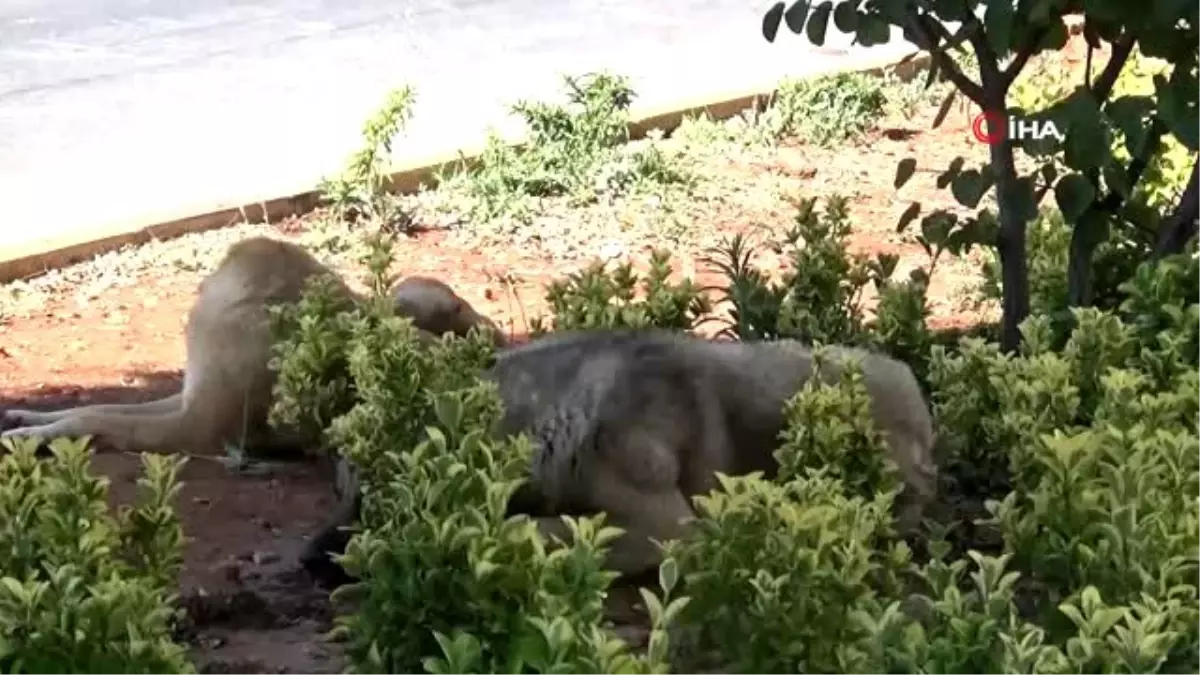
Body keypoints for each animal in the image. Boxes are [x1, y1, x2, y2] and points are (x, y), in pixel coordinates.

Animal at [0, 234, 506, 454]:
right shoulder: (186, 398)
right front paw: (26, 420)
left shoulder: (196, 425)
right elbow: (93, 408)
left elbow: (95, 416)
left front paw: (24, 438)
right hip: (406, 296)